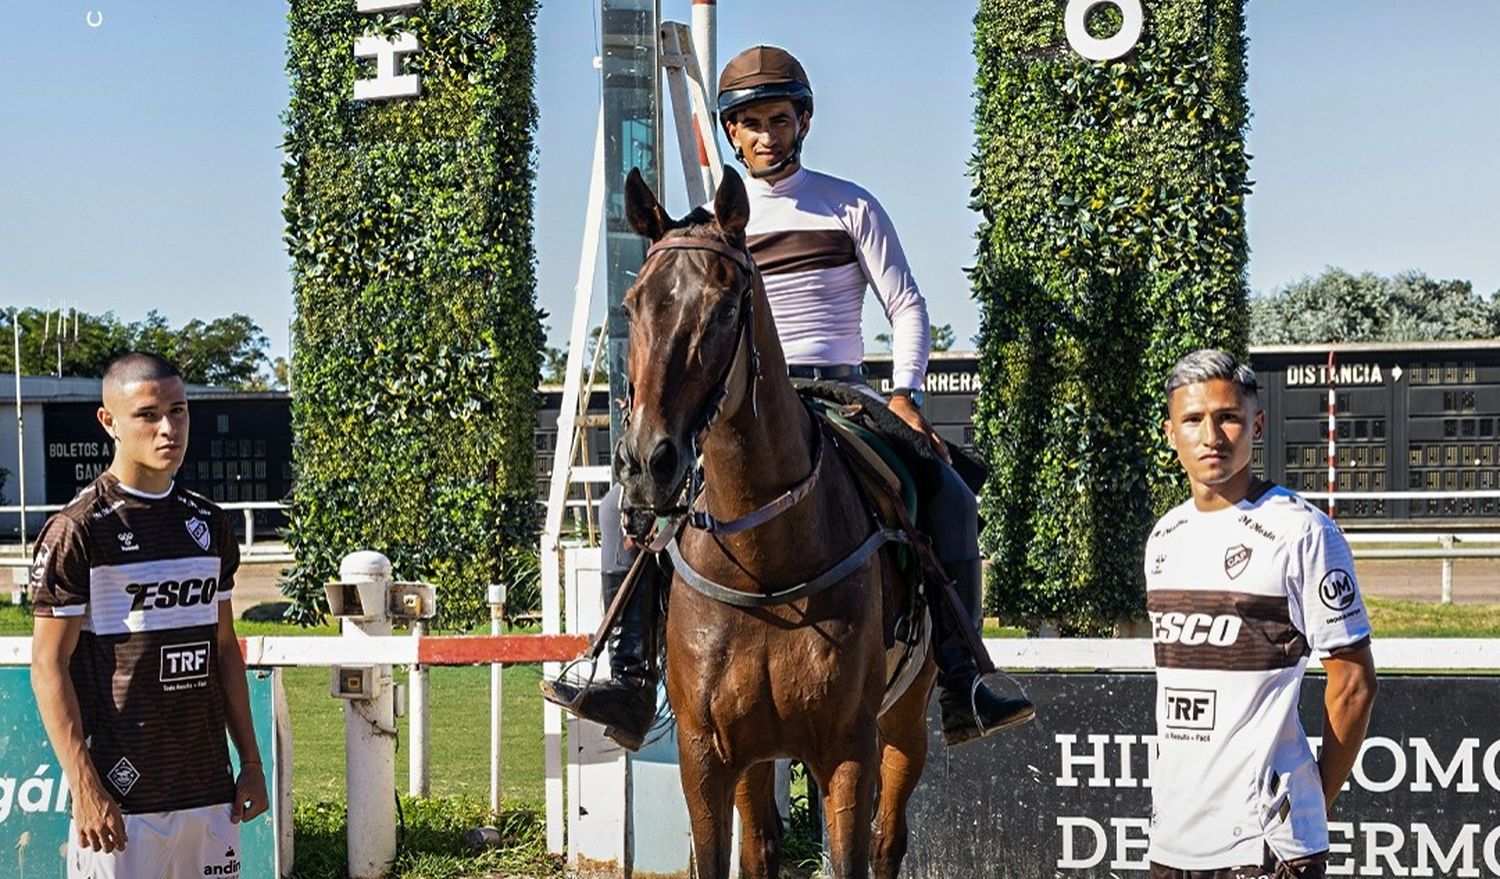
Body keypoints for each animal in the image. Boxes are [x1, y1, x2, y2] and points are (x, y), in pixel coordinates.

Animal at [612, 165, 936, 876]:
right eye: (630, 306)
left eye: (726, 307)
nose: (647, 462)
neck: (765, 567)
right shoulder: (706, 756)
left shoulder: (847, 749)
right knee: (760, 844)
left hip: (905, 721)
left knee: (889, 841)